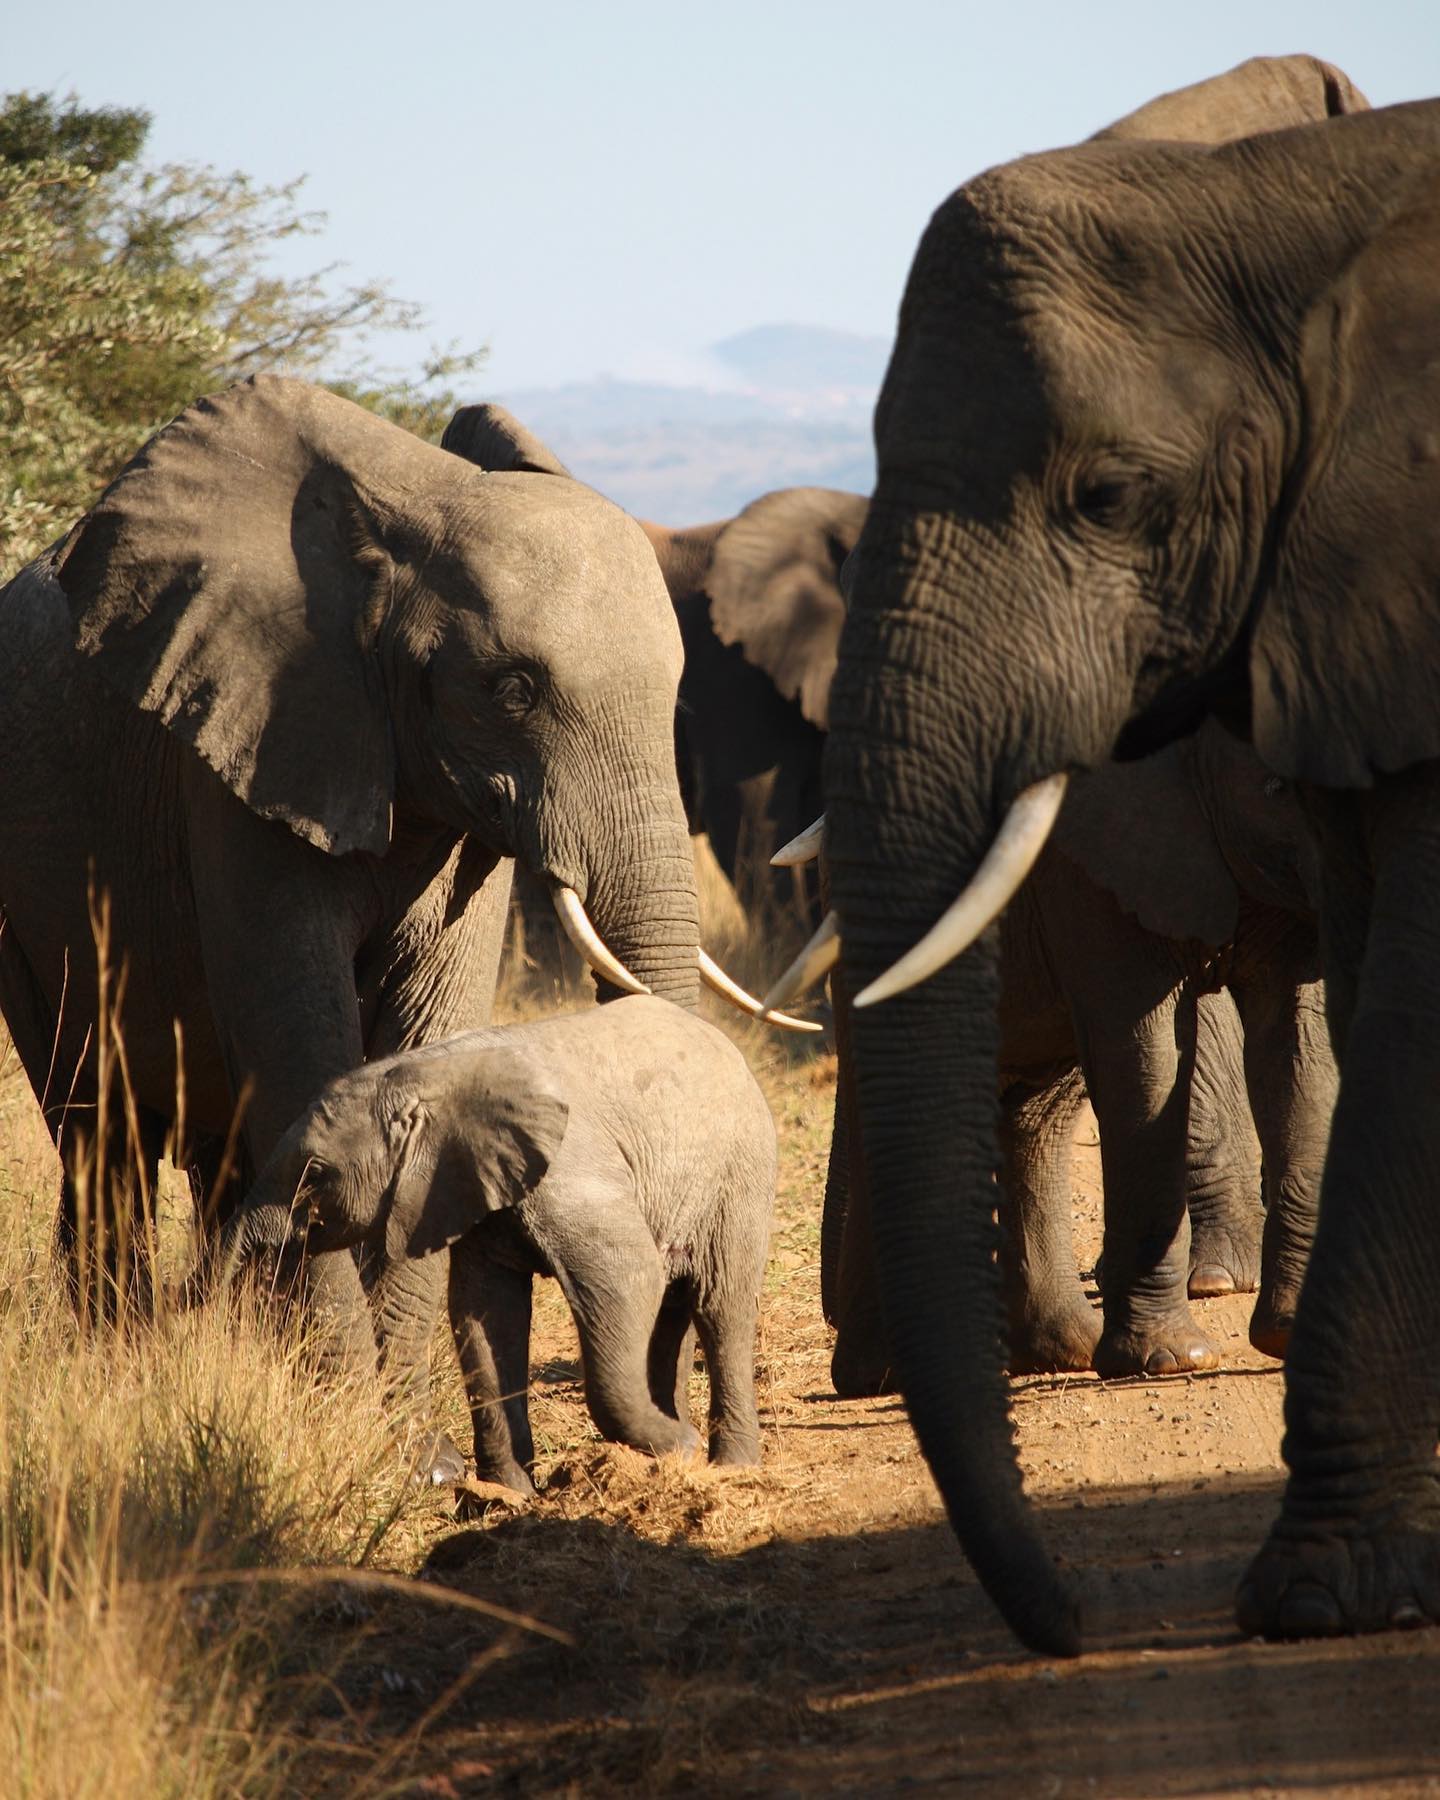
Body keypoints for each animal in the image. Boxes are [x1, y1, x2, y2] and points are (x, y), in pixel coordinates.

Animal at [0, 374, 777, 1353]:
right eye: (512, 690)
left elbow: (431, 1032)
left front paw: (394, 1391)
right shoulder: (245, 751)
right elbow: (298, 1046)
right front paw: (347, 1389)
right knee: (96, 1125)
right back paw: (123, 1346)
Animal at [220, 997, 776, 1488]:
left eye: (314, 1174)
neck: (429, 1073)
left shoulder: (569, 1169)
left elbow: (628, 1275)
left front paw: (682, 1446)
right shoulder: (469, 1187)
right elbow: (487, 1313)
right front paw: (509, 1493)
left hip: (740, 1173)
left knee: (720, 1304)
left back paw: (731, 1466)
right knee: (676, 1306)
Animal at [823, 719, 1337, 1396]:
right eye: (1275, 786)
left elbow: (1297, 1043)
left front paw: (1288, 1338)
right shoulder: (1089, 867)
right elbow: (1144, 1048)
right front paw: (1168, 1361)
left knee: (1036, 1115)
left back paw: (1058, 1351)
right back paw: (885, 1375)